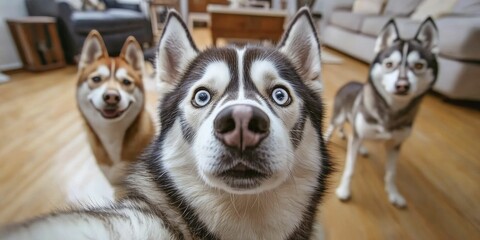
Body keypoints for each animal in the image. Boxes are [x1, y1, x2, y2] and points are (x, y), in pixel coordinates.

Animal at [326, 17, 438, 207]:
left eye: (419, 65)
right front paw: (344, 190)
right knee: (334, 126)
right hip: (339, 117)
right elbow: (350, 168)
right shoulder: (357, 137)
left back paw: (360, 147)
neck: (391, 110)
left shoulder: (395, 145)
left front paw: (394, 194)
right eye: (389, 64)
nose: (402, 85)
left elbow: (391, 173)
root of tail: (349, 83)